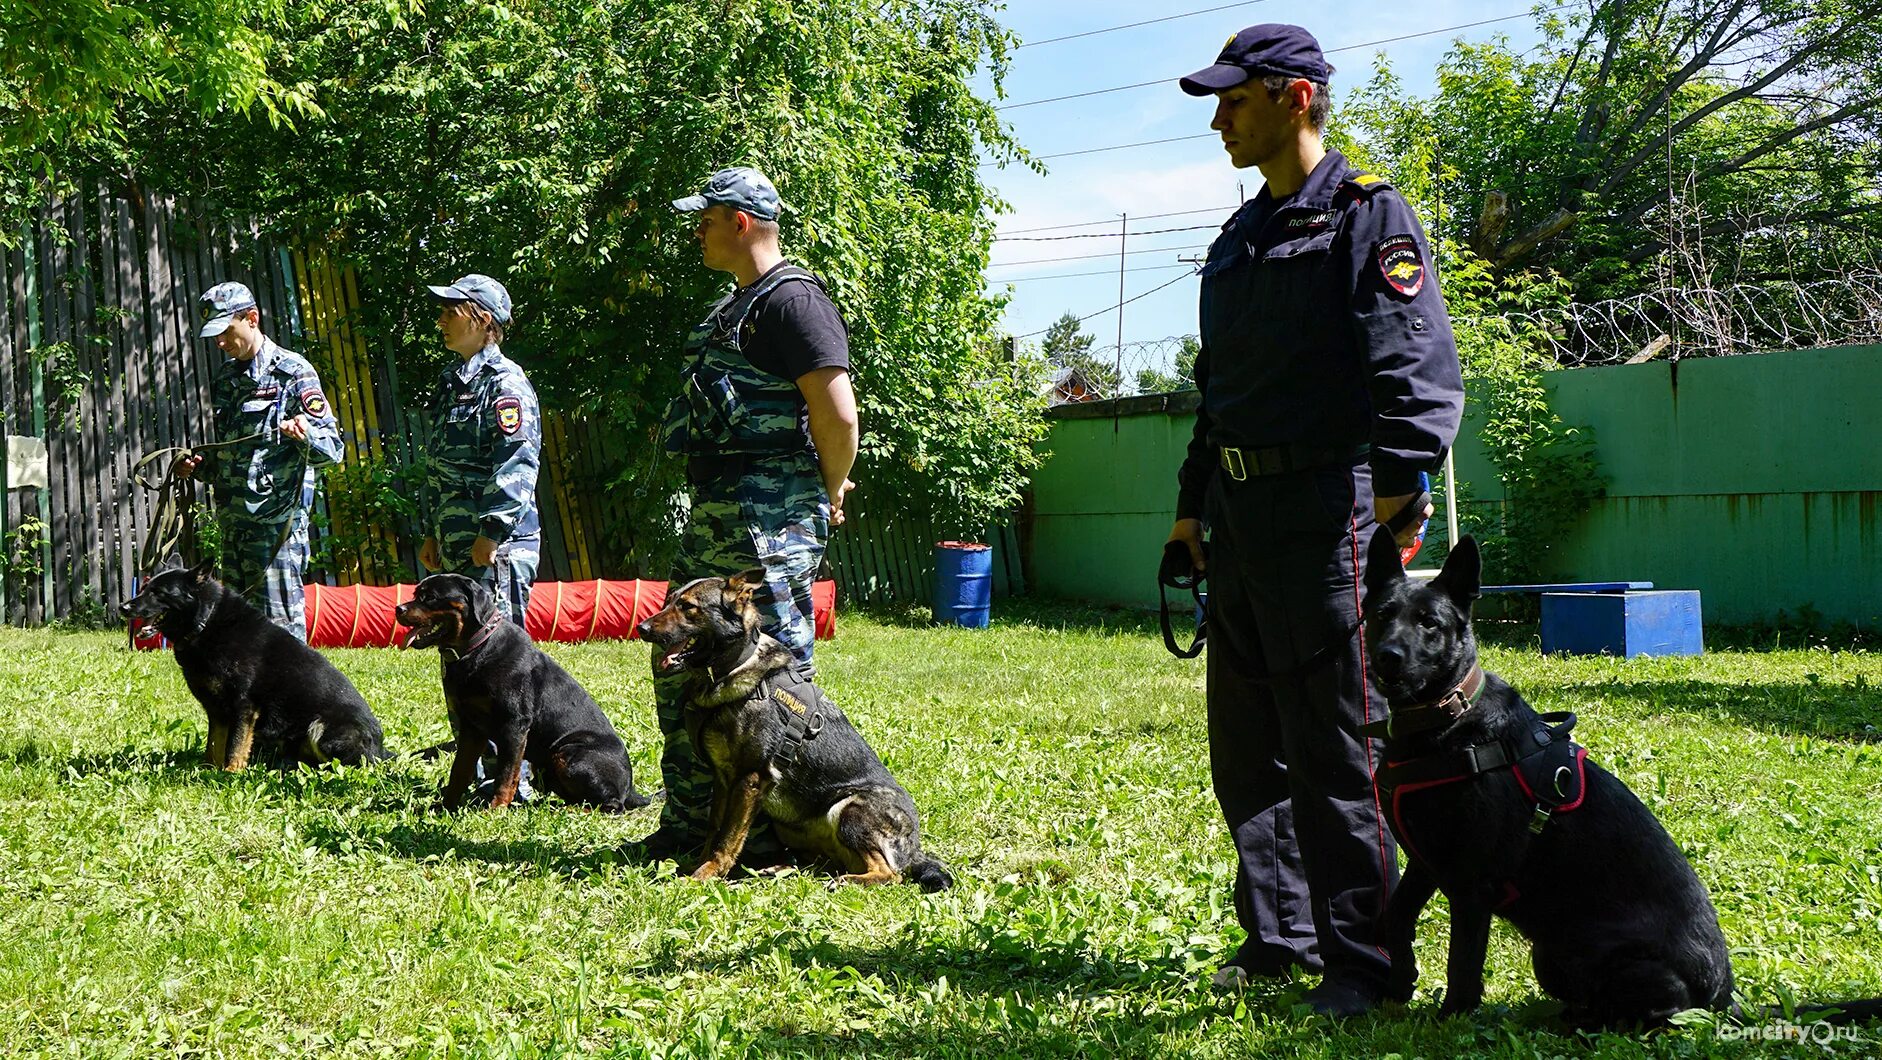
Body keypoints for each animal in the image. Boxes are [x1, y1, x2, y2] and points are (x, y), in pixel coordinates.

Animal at [117, 564, 389, 771]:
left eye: (159, 593)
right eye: (144, 588)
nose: (123, 607)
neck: (205, 622)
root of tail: (380, 749)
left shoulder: (244, 707)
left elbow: (235, 746)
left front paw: (229, 773)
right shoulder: (217, 711)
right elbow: (213, 745)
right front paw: (208, 770)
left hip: (320, 728)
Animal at [395, 572, 647, 813]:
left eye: (430, 597)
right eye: (416, 594)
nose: (398, 609)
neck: (475, 649)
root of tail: (631, 788)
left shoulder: (514, 725)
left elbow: (506, 775)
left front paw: (495, 810)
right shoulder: (471, 728)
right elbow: (459, 771)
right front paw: (444, 806)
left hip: (569, 754)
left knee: (612, 804)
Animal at [636, 568, 956, 892]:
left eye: (688, 607)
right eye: (670, 600)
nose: (642, 628)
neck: (733, 668)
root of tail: (914, 849)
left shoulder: (750, 779)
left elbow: (728, 838)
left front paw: (707, 874)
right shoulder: (724, 779)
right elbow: (714, 829)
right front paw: (699, 865)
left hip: (848, 808)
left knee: (890, 873)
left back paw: (846, 880)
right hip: (790, 826)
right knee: (819, 863)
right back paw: (777, 868)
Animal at [1362, 534, 1874, 1031]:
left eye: (1429, 623)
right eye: (1382, 615)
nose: (1387, 658)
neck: (1448, 719)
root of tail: (1725, 998)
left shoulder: (1472, 885)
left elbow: (1462, 965)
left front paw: (1451, 1019)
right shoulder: (1427, 863)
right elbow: (1394, 916)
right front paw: (1399, 982)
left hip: (1586, 953)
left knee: (1661, 1016)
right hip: (1552, 955)